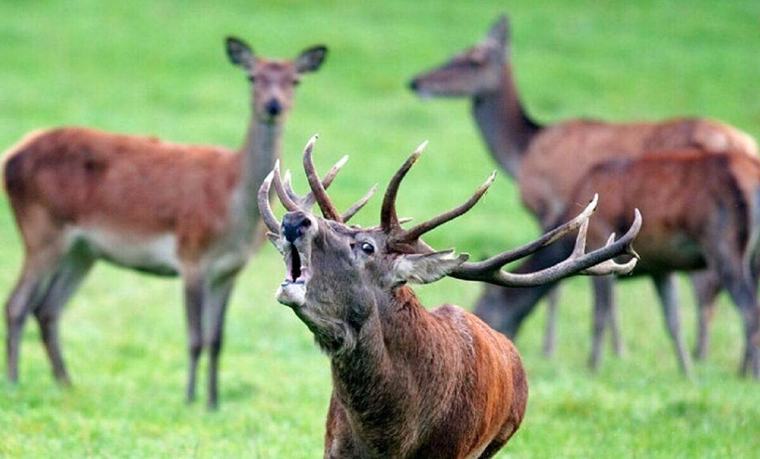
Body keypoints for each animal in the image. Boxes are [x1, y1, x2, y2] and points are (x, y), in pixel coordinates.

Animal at [2, 36, 328, 409]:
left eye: (295, 80)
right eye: (252, 77)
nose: (273, 106)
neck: (233, 213)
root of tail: (10, 156)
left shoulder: (230, 269)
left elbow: (217, 340)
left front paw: (213, 402)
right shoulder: (191, 256)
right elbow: (196, 337)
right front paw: (189, 399)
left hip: (82, 250)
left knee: (47, 308)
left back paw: (66, 383)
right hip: (41, 229)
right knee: (16, 304)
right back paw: (14, 381)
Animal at [478, 149, 760, 378]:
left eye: (486, 305)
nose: (496, 341)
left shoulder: (598, 240)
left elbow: (600, 313)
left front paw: (593, 366)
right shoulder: (660, 268)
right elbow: (673, 321)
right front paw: (687, 372)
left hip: (723, 243)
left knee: (748, 308)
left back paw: (749, 373)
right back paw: (743, 369)